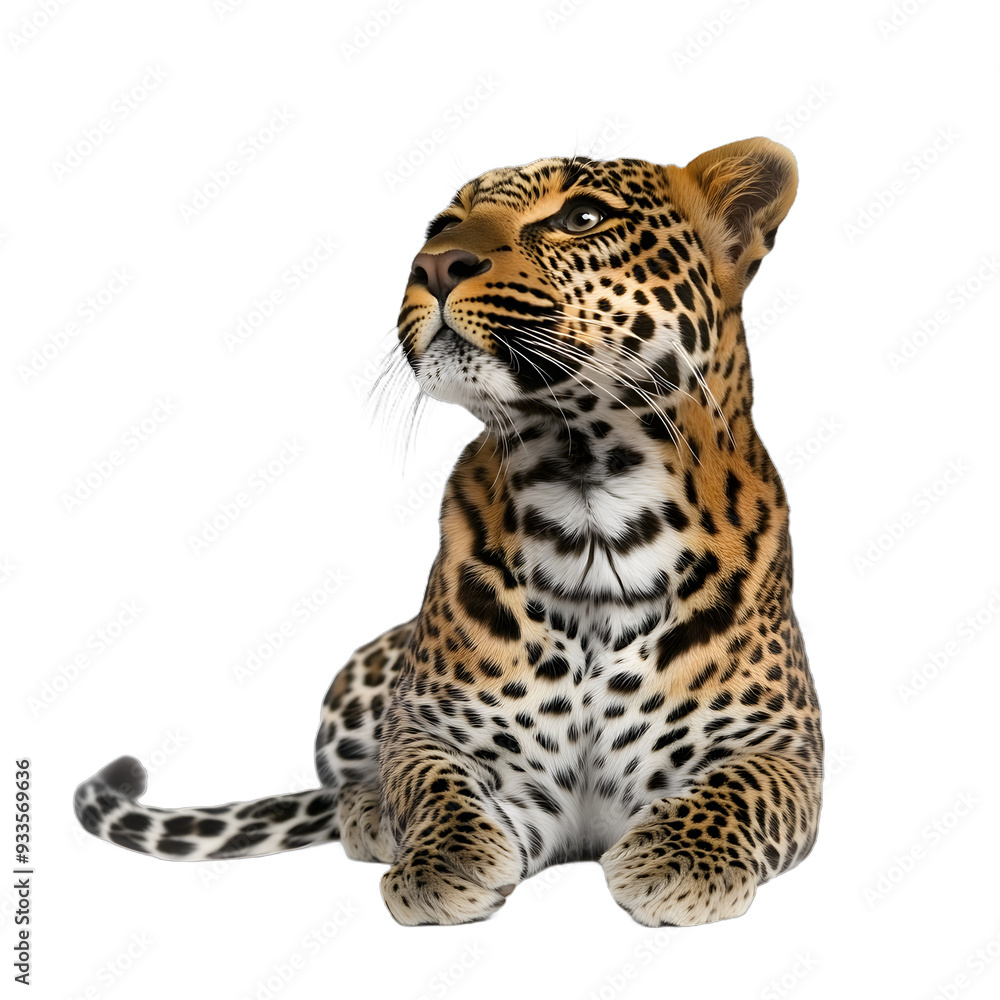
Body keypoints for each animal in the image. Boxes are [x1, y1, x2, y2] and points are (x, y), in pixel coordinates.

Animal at [75, 137, 823, 927]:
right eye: (441, 225)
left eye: (581, 218)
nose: (433, 266)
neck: (589, 495)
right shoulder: (435, 728)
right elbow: (430, 780)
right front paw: (442, 860)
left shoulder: (787, 745)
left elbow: (740, 789)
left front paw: (679, 861)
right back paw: (367, 812)